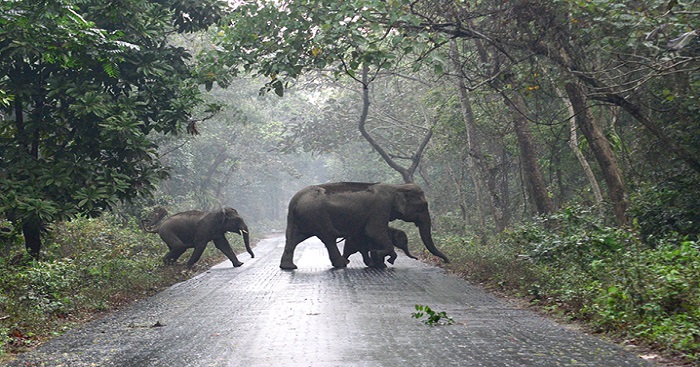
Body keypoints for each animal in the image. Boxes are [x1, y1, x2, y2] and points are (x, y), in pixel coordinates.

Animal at [282, 182, 452, 270]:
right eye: (423, 206)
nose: (447, 262)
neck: (396, 187)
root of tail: (295, 200)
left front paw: (378, 262)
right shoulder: (380, 208)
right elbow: (374, 232)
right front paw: (382, 259)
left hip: (298, 219)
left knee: (292, 239)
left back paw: (289, 267)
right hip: (317, 215)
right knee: (328, 237)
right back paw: (342, 264)